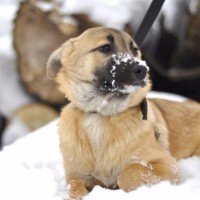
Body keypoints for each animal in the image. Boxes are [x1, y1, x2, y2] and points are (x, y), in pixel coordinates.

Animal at [46, 27, 200, 199]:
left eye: (134, 50)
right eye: (105, 48)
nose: (143, 70)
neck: (100, 114)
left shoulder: (169, 166)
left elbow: (128, 172)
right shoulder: (76, 176)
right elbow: (74, 188)